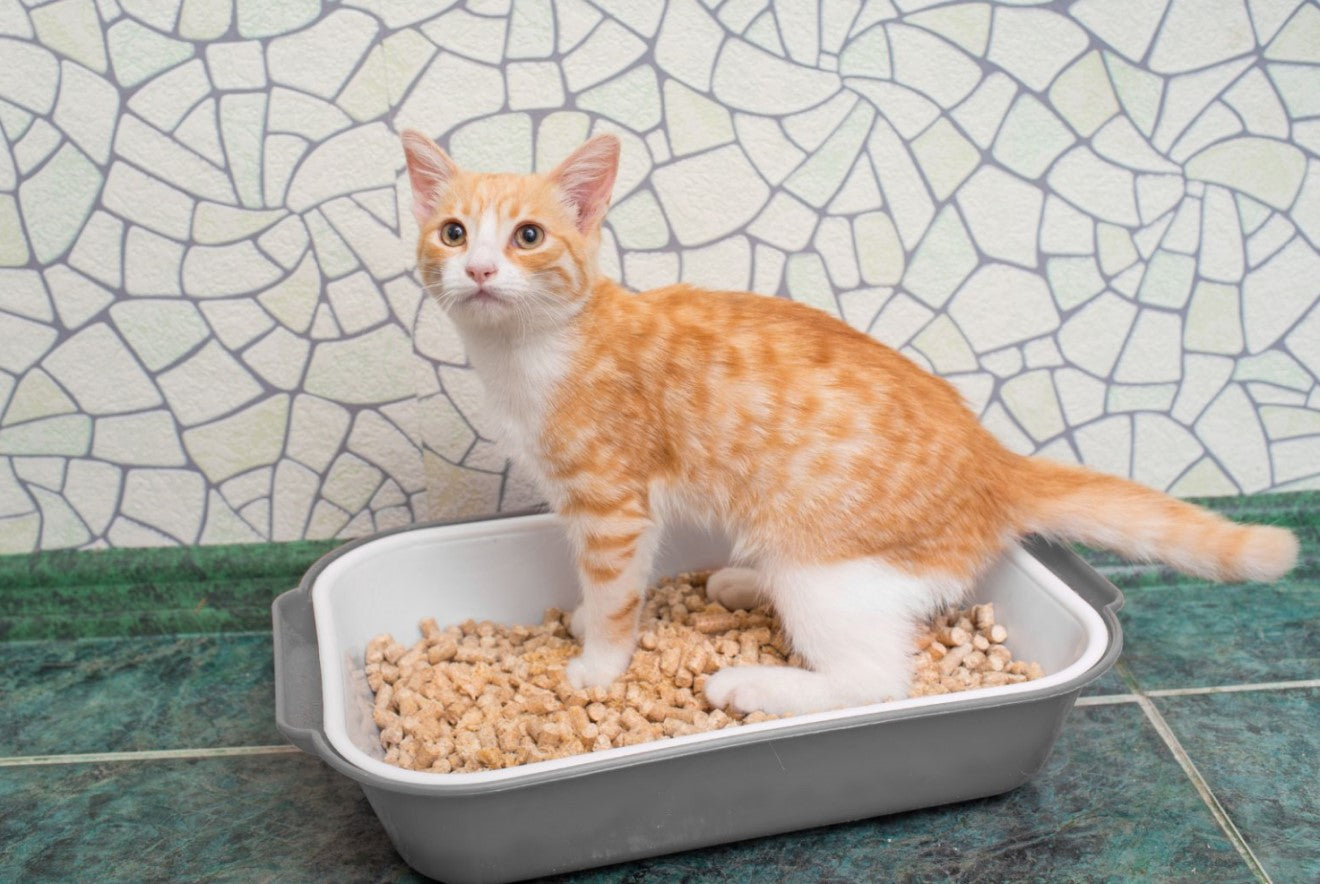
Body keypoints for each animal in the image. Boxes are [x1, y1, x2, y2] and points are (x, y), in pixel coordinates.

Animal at [398, 131, 1298, 717]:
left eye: (528, 236)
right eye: (453, 232)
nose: (481, 269)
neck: (529, 353)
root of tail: (994, 459)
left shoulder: (612, 506)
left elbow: (615, 591)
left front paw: (598, 661)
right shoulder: (608, 508)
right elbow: (608, 584)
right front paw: (588, 624)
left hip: (824, 567)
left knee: (875, 680)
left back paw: (757, 686)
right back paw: (739, 581)